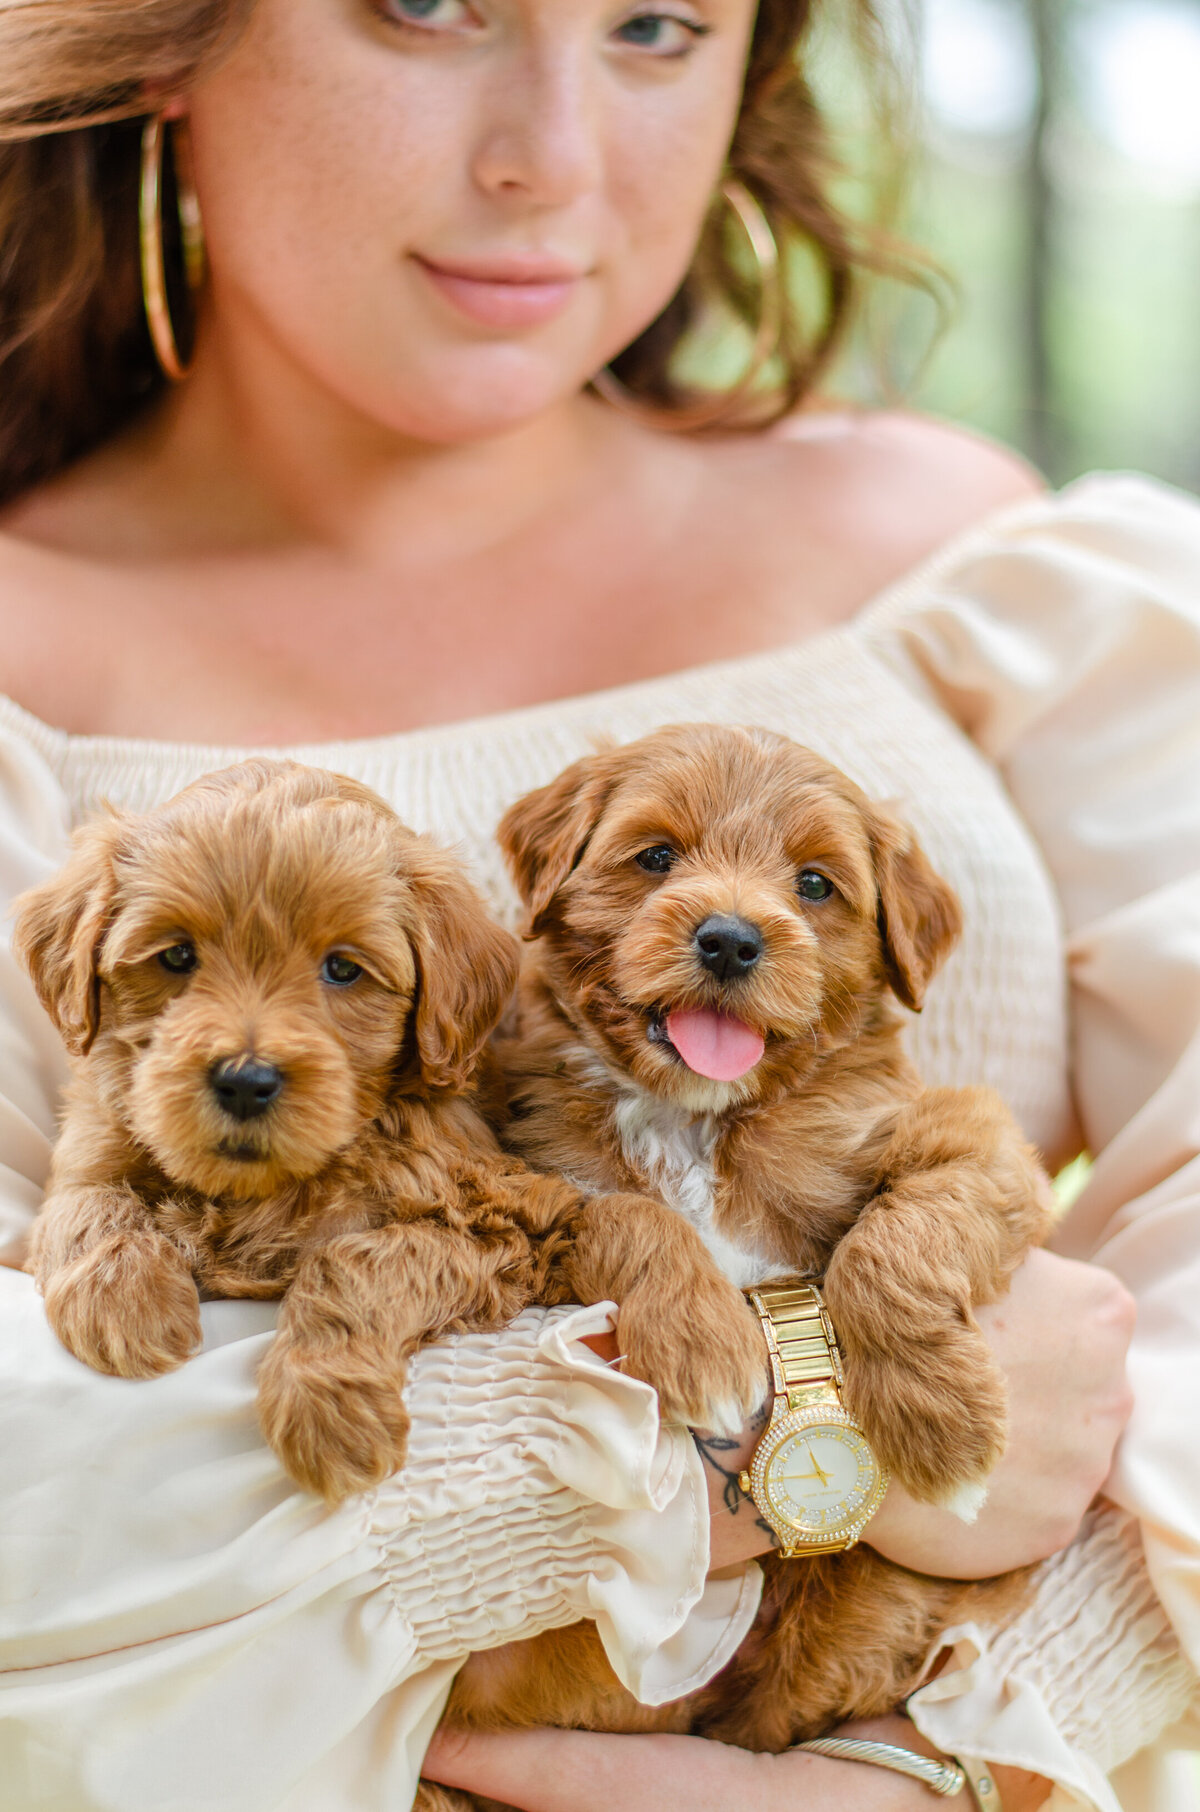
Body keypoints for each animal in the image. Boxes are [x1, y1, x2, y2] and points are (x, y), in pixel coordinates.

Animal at [14, 757, 764, 1507]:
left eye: (343, 969)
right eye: (175, 957)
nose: (245, 1082)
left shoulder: (495, 1225)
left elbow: (353, 1260)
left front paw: (328, 1407)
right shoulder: (94, 1141)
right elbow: (85, 1201)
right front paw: (123, 1300)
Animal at [427, 721, 1051, 1797]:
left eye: (815, 883)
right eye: (655, 856)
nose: (728, 938)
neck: (698, 1116)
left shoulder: (971, 1136)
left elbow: (898, 1236)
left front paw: (944, 1423)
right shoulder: (524, 1185)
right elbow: (629, 1216)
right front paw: (706, 1342)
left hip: (854, 1615)